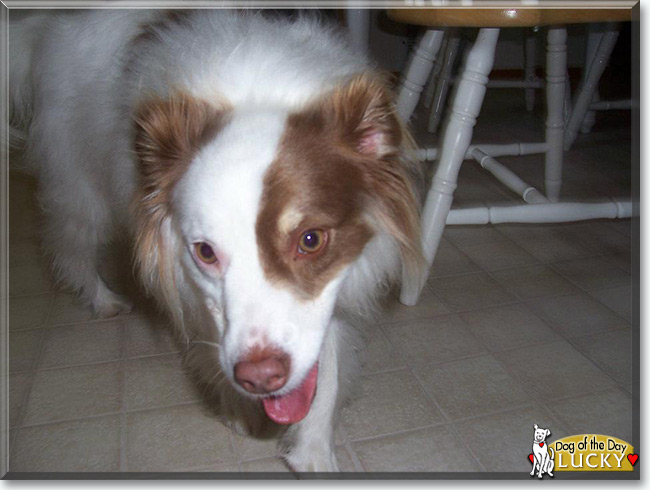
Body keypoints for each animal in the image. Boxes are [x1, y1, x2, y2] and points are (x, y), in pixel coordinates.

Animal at [10, 10, 426, 470]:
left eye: (311, 239)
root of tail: (49, 25)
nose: (261, 379)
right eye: (205, 252)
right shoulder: (192, 290)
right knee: (73, 249)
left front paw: (314, 452)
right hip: (81, 187)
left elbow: (327, 373)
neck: (257, 98)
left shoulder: (333, 289)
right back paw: (103, 299)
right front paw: (239, 410)